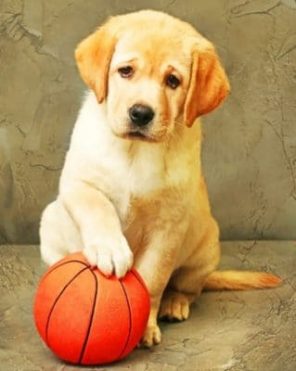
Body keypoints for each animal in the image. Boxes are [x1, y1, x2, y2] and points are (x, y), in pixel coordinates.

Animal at [38, 8, 280, 348]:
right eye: (126, 71)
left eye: (173, 81)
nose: (141, 113)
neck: (136, 151)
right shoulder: (77, 183)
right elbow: (98, 207)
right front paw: (110, 249)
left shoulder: (168, 227)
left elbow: (152, 279)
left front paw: (144, 325)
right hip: (50, 221)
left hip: (206, 249)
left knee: (187, 287)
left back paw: (174, 304)